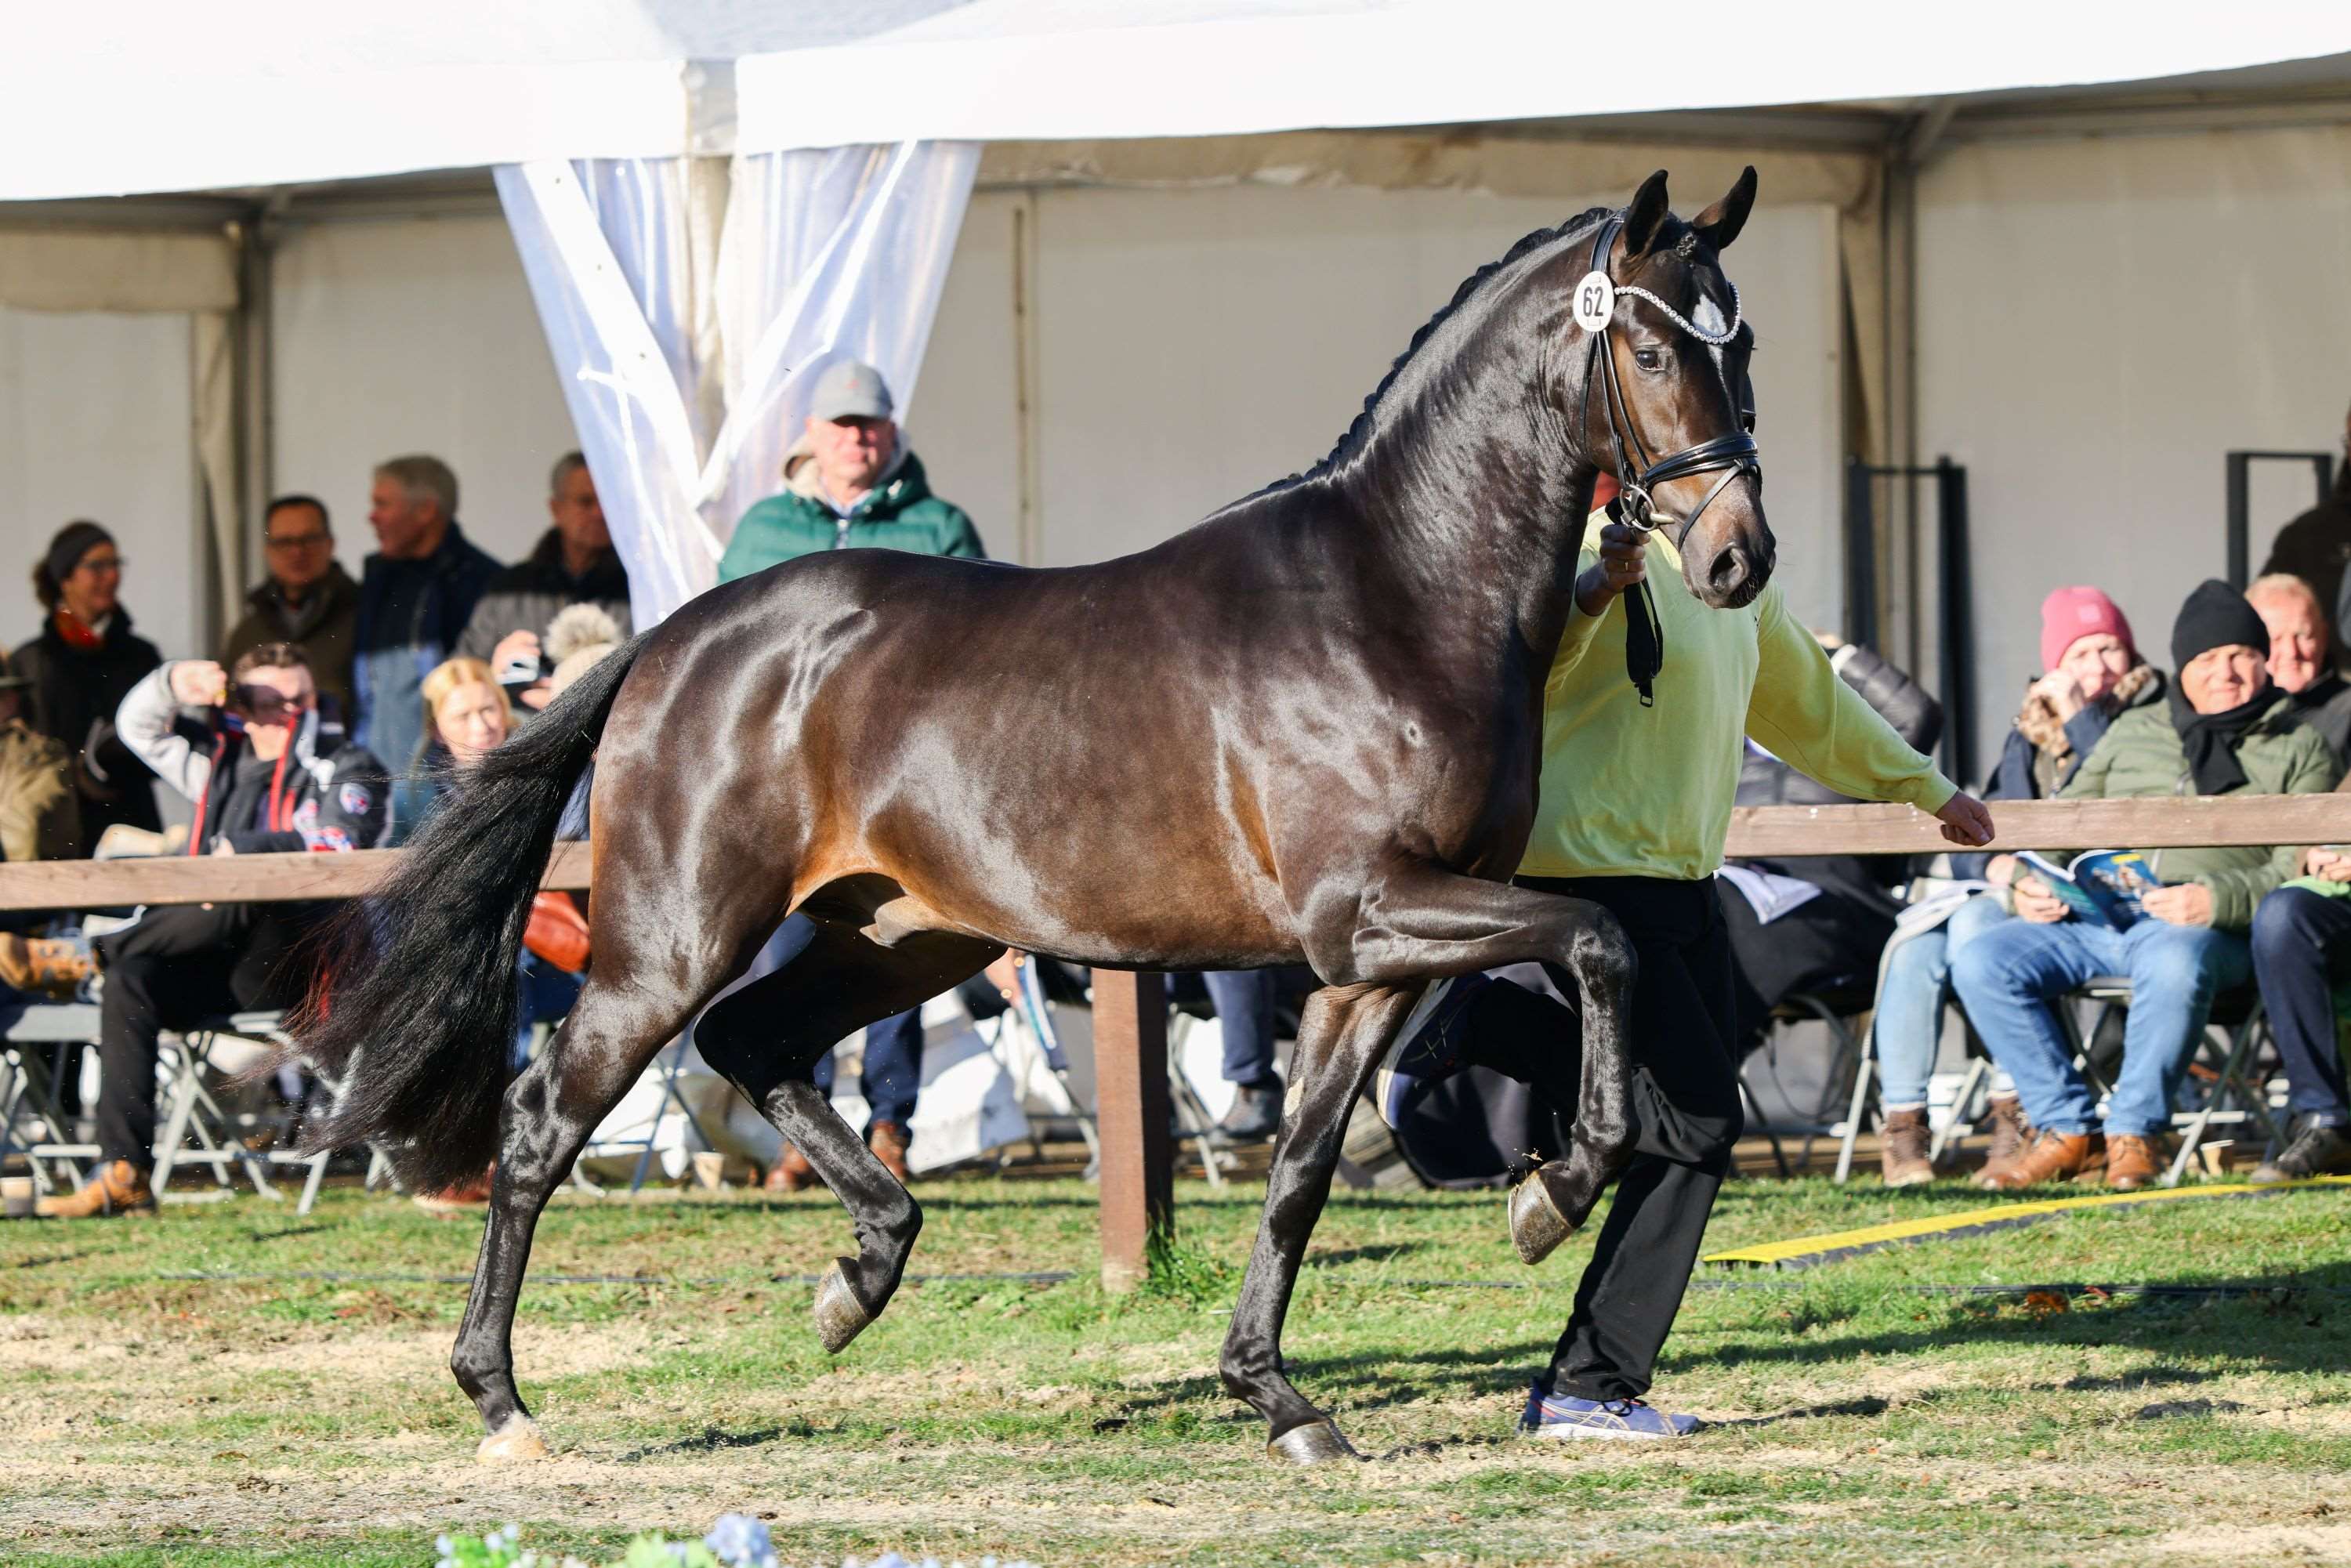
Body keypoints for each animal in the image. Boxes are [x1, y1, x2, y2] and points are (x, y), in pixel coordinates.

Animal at [295, 166, 1773, 1467]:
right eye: (1654, 350)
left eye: (1743, 339)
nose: (1737, 555)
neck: (1393, 597)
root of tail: (673, 637)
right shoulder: (1365, 912)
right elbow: (1601, 942)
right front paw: (1550, 1195)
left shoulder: (1367, 966)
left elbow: (1300, 1165)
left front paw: (1279, 1398)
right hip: (670, 942)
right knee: (545, 1116)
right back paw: (502, 1399)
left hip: (905, 937)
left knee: (753, 1040)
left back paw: (860, 1274)